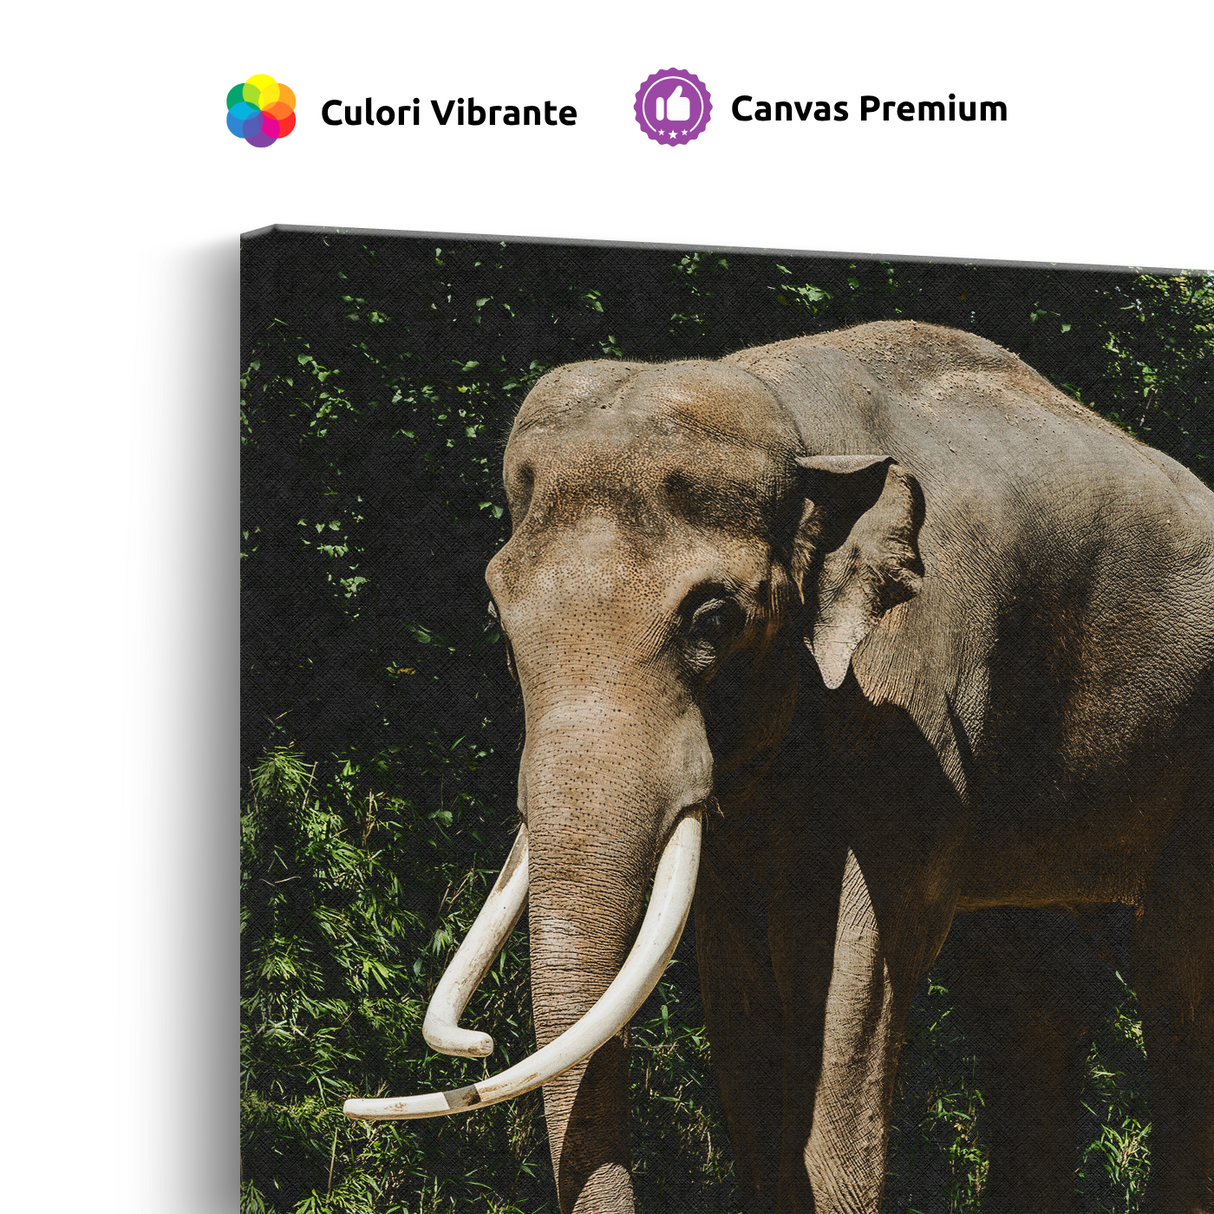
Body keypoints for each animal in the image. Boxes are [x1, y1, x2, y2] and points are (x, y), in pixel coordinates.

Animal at [345, 321, 1214, 1213]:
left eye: (713, 619)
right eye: (497, 616)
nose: (478, 1043)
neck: (799, 431)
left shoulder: (920, 691)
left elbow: (856, 951)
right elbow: (736, 969)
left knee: (1175, 982)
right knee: (1033, 989)